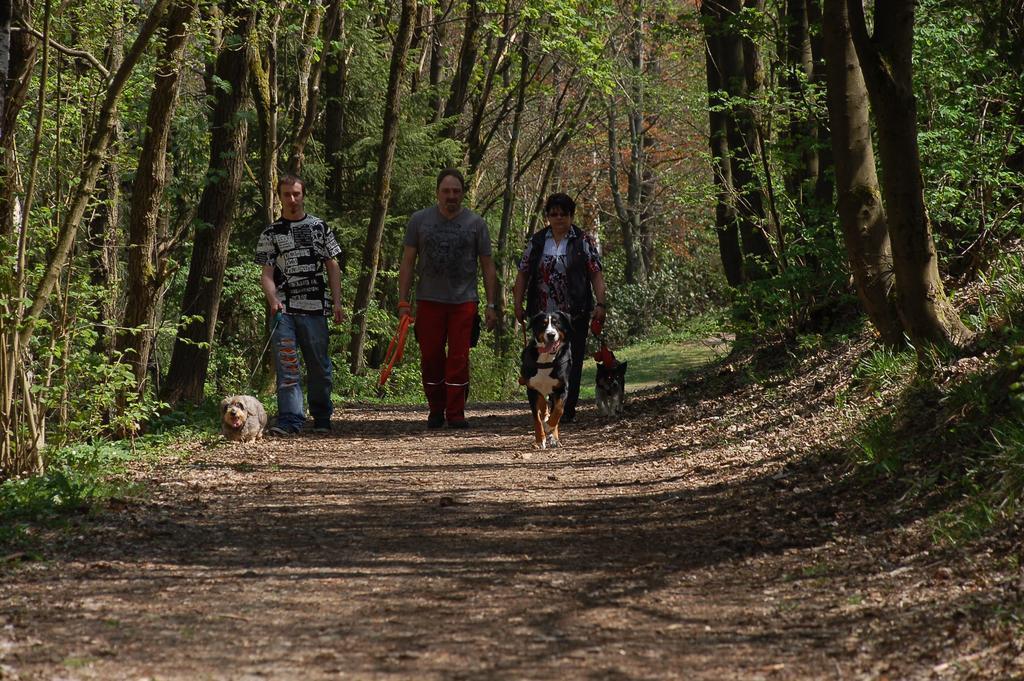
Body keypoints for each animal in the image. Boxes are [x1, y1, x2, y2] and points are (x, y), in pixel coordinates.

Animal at [520, 311, 577, 448]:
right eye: (543, 324)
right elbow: (537, 419)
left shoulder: (561, 388)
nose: (551, 334)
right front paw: (540, 439)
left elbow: (559, 410)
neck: (546, 358)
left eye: (557, 323)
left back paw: (554, 437)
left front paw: (549, 428)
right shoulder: (531, 389)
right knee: (542, 404)